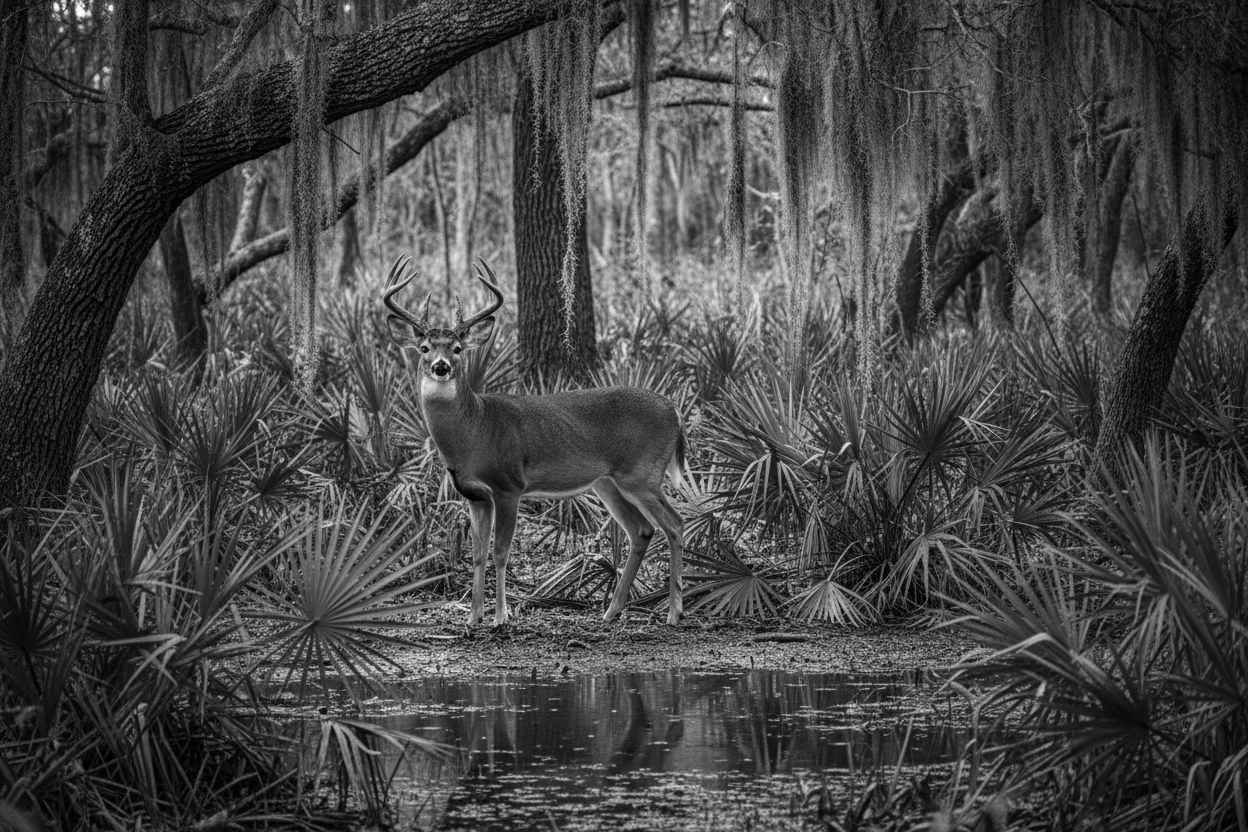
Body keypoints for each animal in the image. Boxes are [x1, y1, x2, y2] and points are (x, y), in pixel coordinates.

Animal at [383, 256, 688, 627]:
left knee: (675, 524)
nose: (441, 367)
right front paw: (473, 618)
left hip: (642, 474)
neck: (475, 432)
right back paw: (611, 611)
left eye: (457, 348)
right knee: (642, 530)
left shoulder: (509, 485)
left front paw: (501, 617)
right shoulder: (474, 495)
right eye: (424, 348)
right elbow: (477, 554)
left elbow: (500, 552)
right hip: (607, 483)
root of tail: (674, 410)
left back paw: (673, 612)